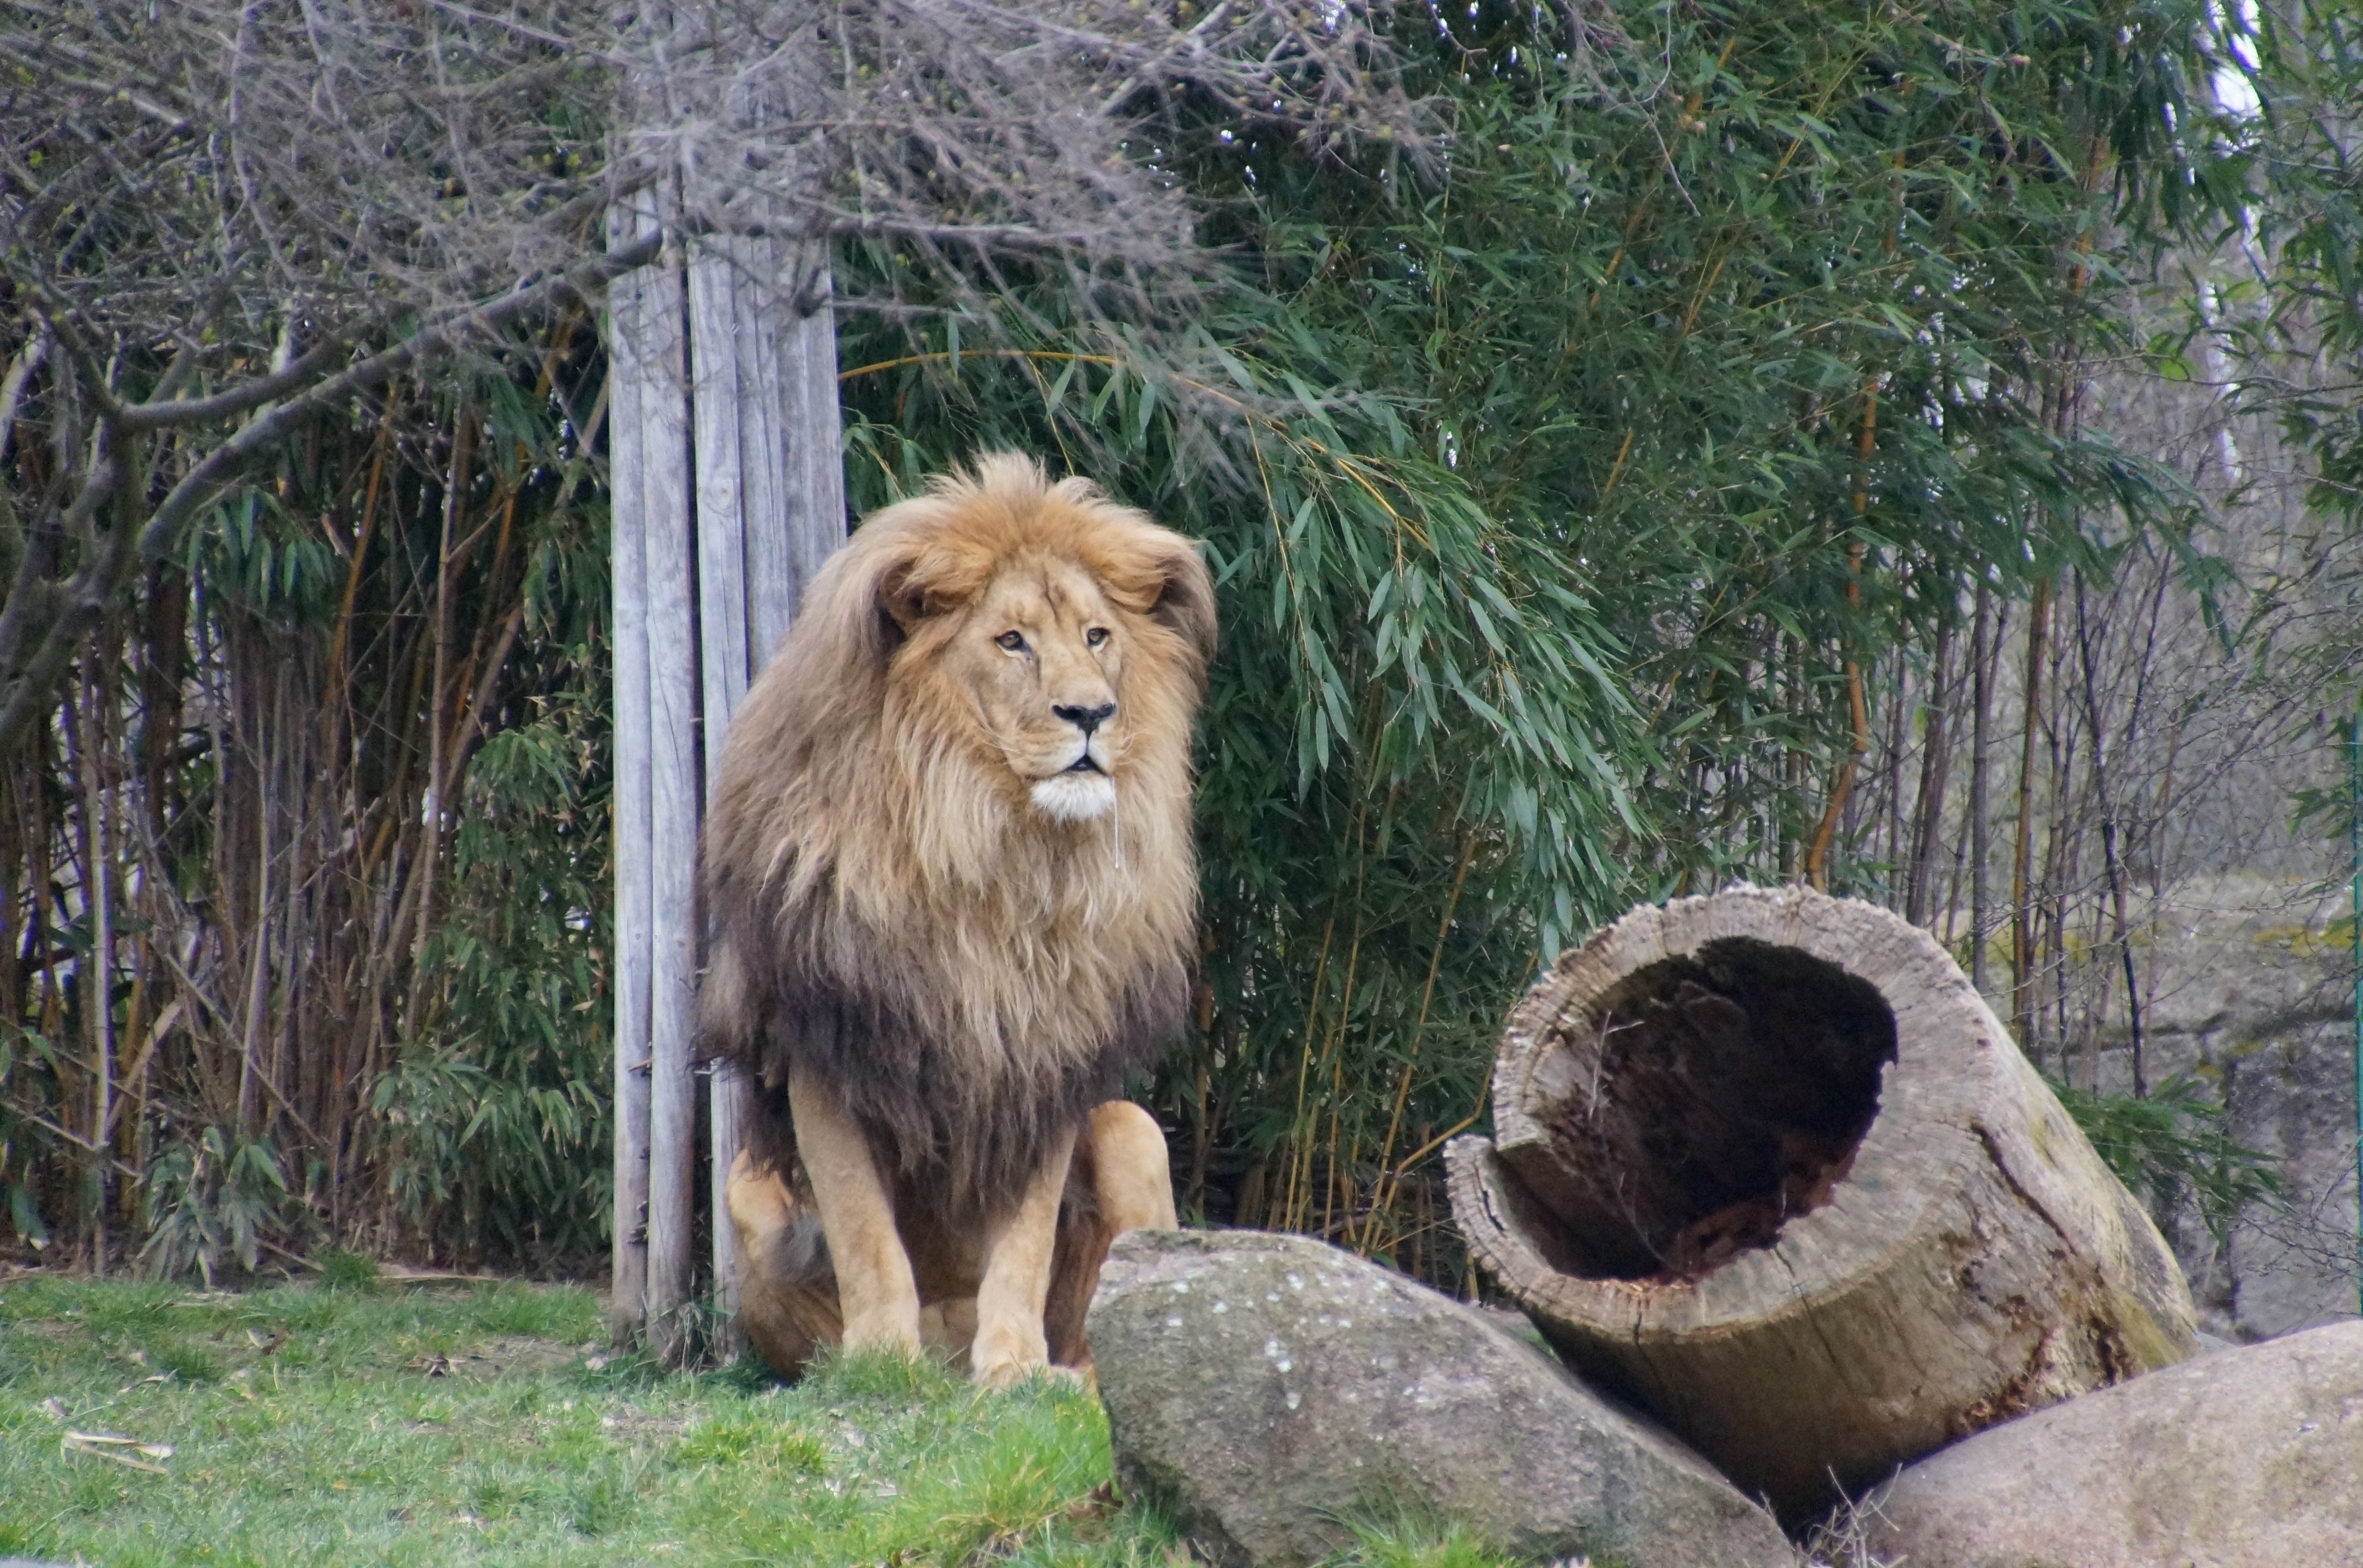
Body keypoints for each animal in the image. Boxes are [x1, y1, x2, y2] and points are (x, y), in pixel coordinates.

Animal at [694, 453, 1219, 1388]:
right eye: (1011, 641)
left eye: (1097, 637)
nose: (1092, 713)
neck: (986, 844)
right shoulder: (827, 1044)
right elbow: (865, 1229)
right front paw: (879, 1364)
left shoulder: (1041, 1054)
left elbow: (1025, 1237)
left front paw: (1011, 1368)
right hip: (748, 1188)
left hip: (1133, 1132)